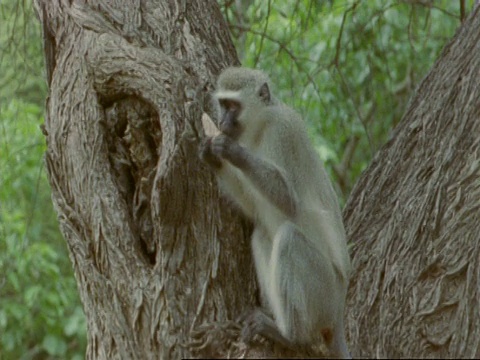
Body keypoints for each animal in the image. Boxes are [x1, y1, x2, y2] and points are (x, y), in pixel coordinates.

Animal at [199, 67, 352, 358]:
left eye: (233, 107)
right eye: (222, 104)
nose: (222, 121)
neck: (259, 128)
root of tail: (340, 310)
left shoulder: (284, 131)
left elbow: (289, 200)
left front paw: (232, 152)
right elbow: (251, 207)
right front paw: (211, 155)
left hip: (325, 292)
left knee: (289, 239)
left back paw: (290, 335)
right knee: (261, 235)